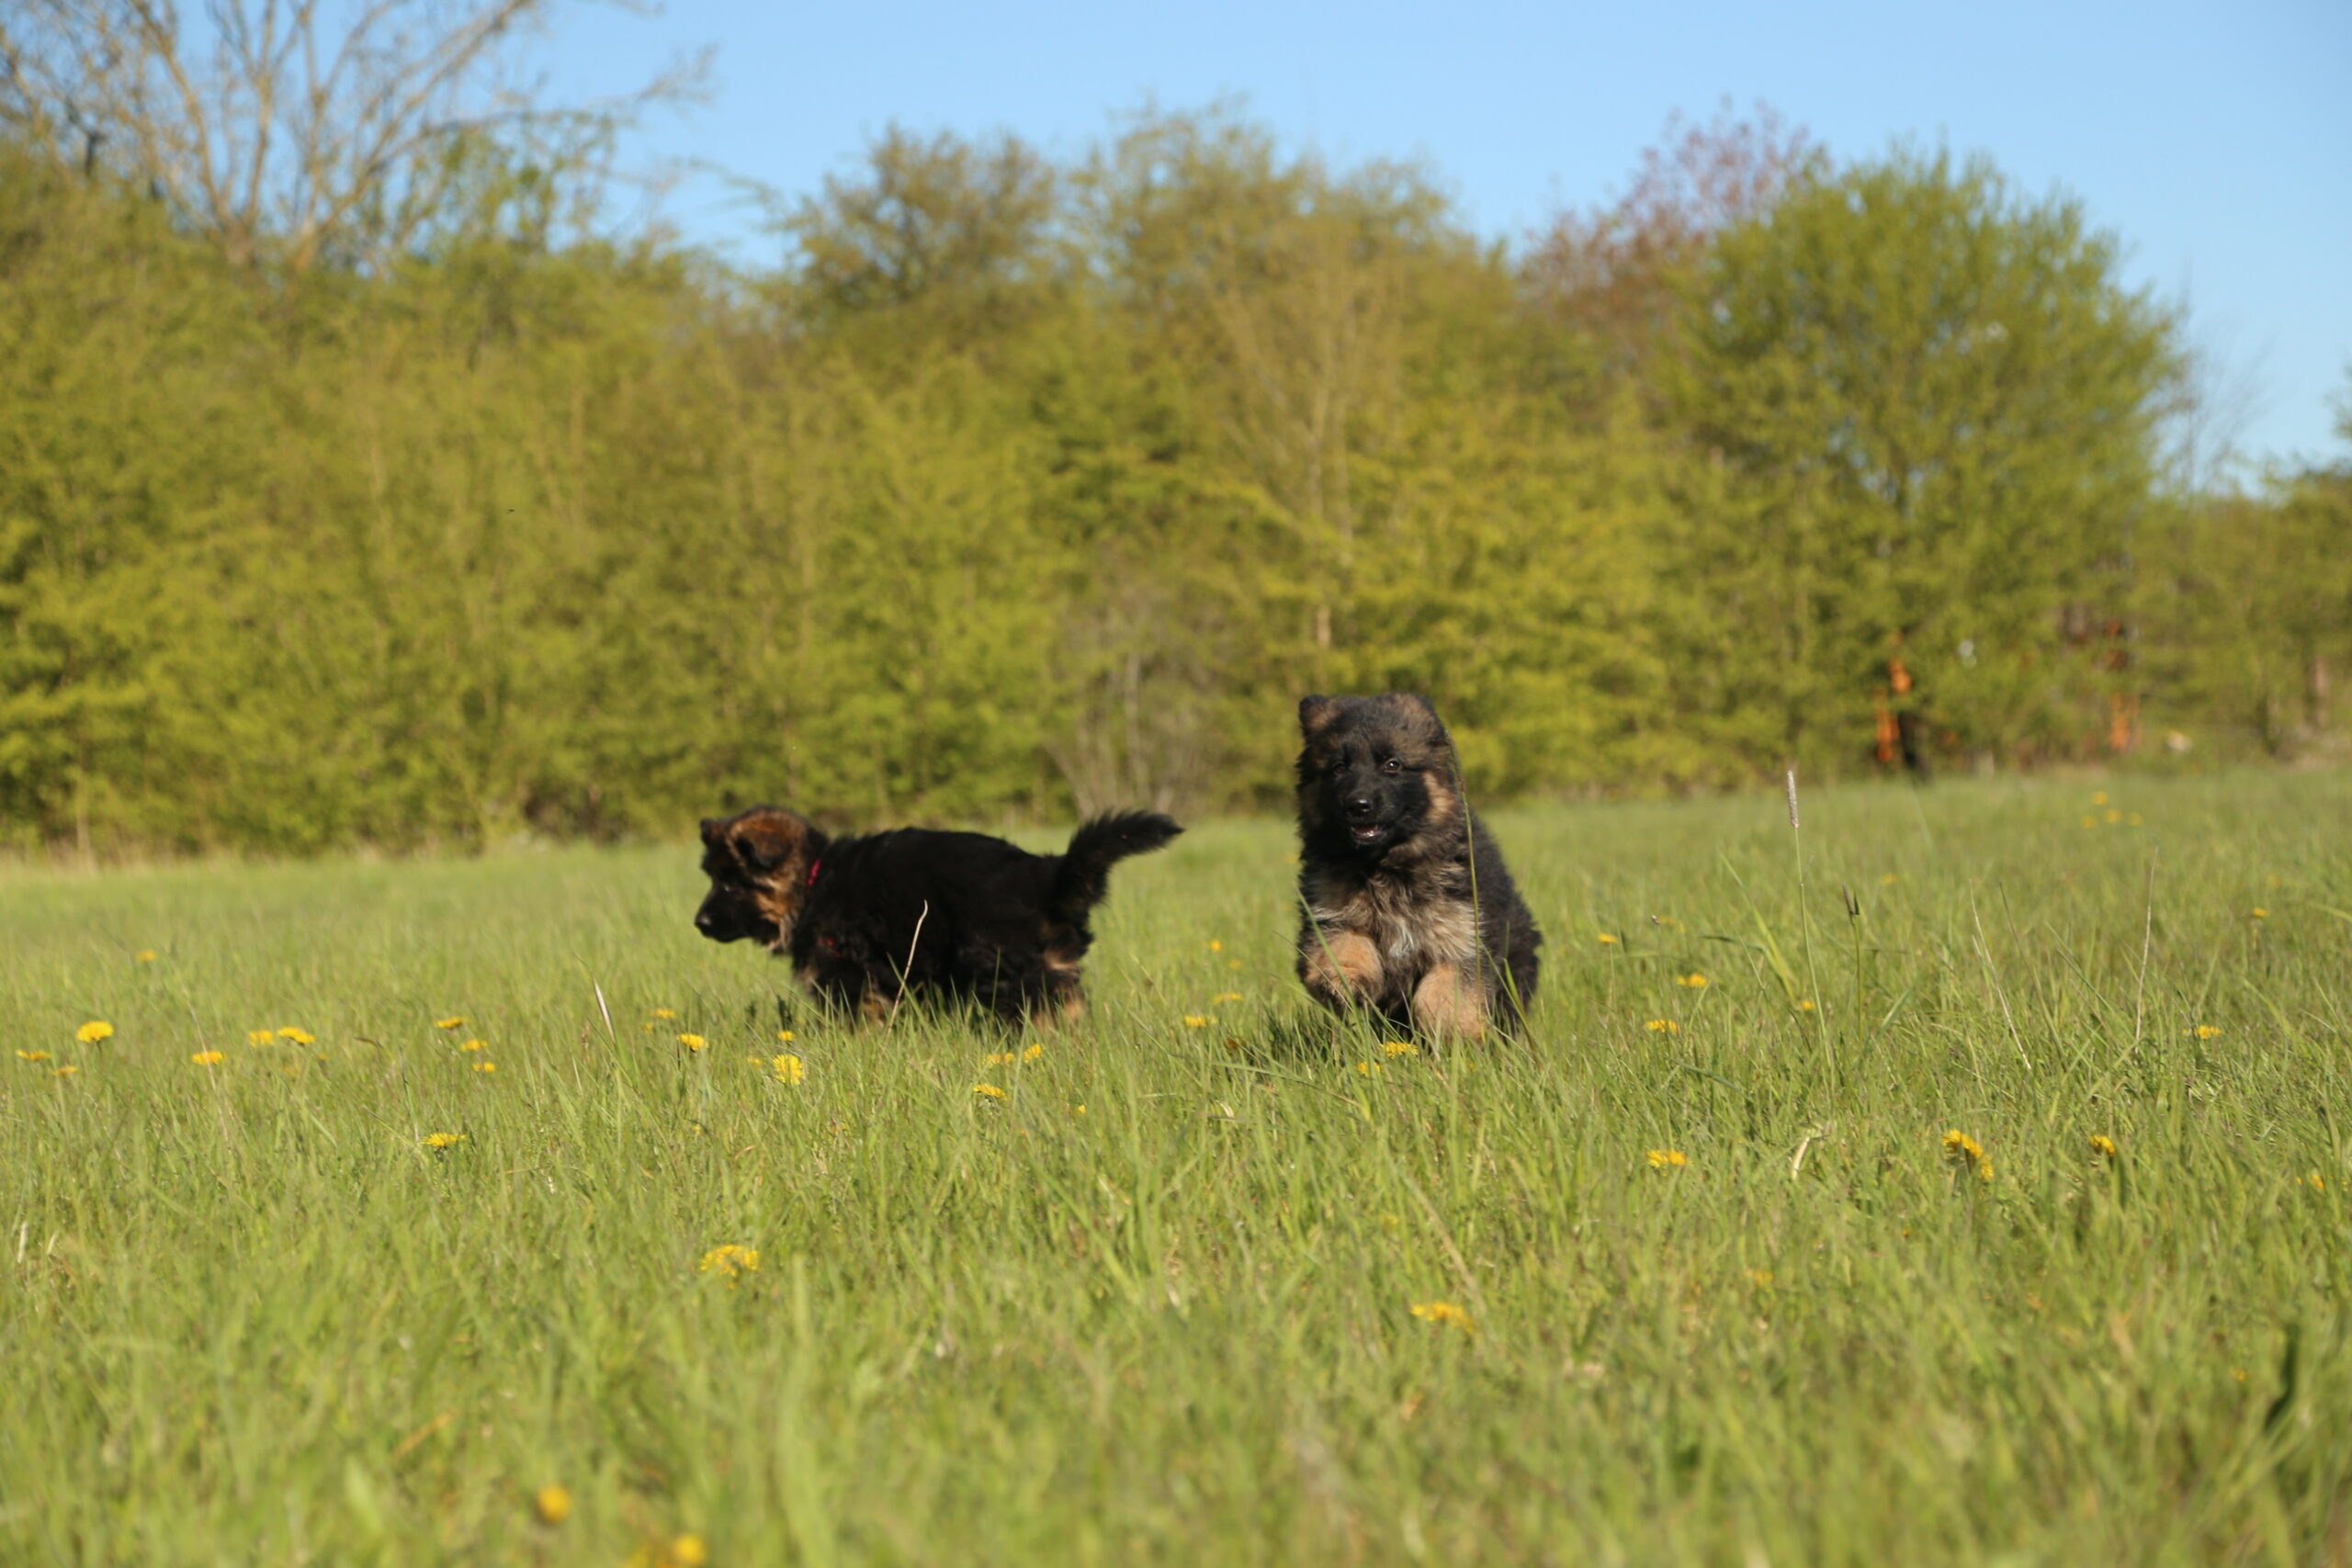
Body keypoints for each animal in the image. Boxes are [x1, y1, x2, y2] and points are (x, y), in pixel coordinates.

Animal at [691, 808, 1176, 1029]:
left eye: (730, 885)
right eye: (711, 878)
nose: (699, 923)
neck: (813, 880)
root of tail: (1044, 874)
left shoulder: (850, 977)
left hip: (1003, 970)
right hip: (1053, 967)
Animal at [1288, 691, 1543, 1034]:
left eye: (1392, 765)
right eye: (1340, 768)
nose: (1358, 805)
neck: (1387, 866)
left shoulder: (1463, 935)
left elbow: (1442, 992)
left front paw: (1449, 1028)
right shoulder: (1330, 916)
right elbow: (1343, 946)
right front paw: (1346, 979)